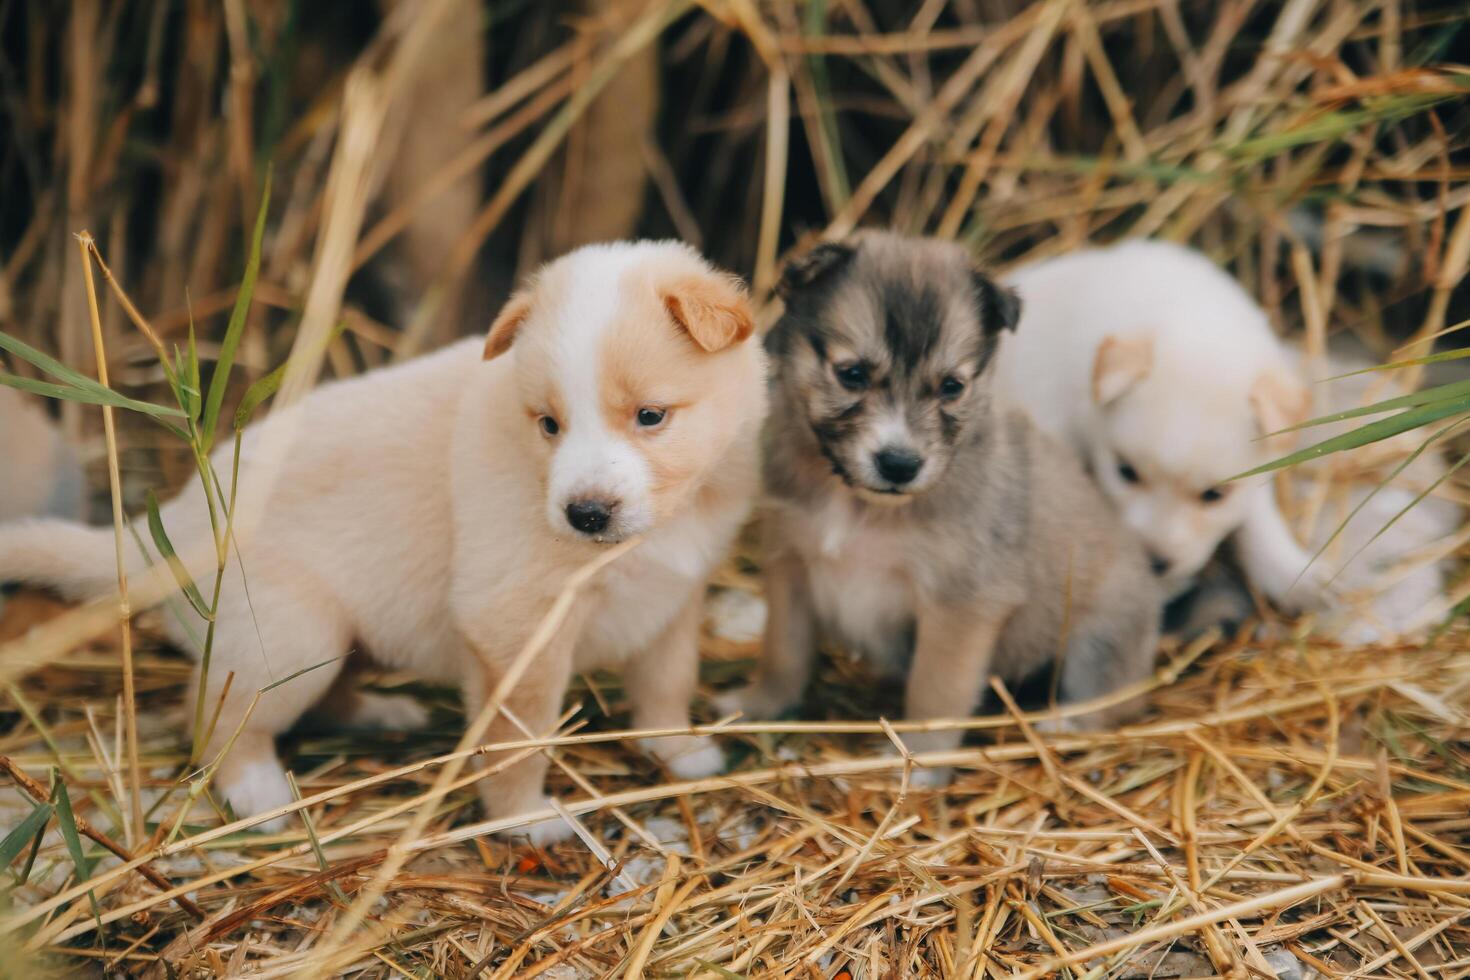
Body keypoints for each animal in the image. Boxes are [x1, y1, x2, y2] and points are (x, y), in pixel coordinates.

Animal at [0, 240, 764, 840]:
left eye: (651, 416)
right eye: (548, 424)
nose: (586, 514)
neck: (661, 525)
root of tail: (176, 524)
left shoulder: (674, 599)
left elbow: (668, 683)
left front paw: (682, 752)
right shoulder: (515, 626)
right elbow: (518, 737)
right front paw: (525, 818)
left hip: (340, 636)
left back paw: (379, 710)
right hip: (292, 636)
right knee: (217, 714)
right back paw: (256, 790)